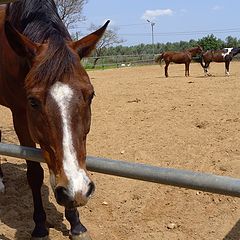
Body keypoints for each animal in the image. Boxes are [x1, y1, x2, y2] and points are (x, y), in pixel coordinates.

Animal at [0, 0, 109, 239]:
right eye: (32, 101)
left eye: (90, 95)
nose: (77, 190)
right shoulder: (20, 115)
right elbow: (34, 173)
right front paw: (40, 226)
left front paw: (76, 223)